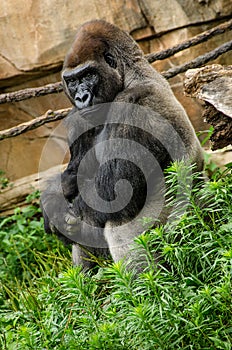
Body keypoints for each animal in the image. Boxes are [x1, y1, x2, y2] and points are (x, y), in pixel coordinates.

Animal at [40, 19, 204, 270]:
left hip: (184, 225)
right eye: (73, 81)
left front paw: (57, 212)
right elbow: (74, 175)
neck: (130, 75)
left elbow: (112, 191)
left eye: (89, 75)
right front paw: (52, 202)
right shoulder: (78, 118)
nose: (81, 98)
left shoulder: (133, 103)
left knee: (119, 223)